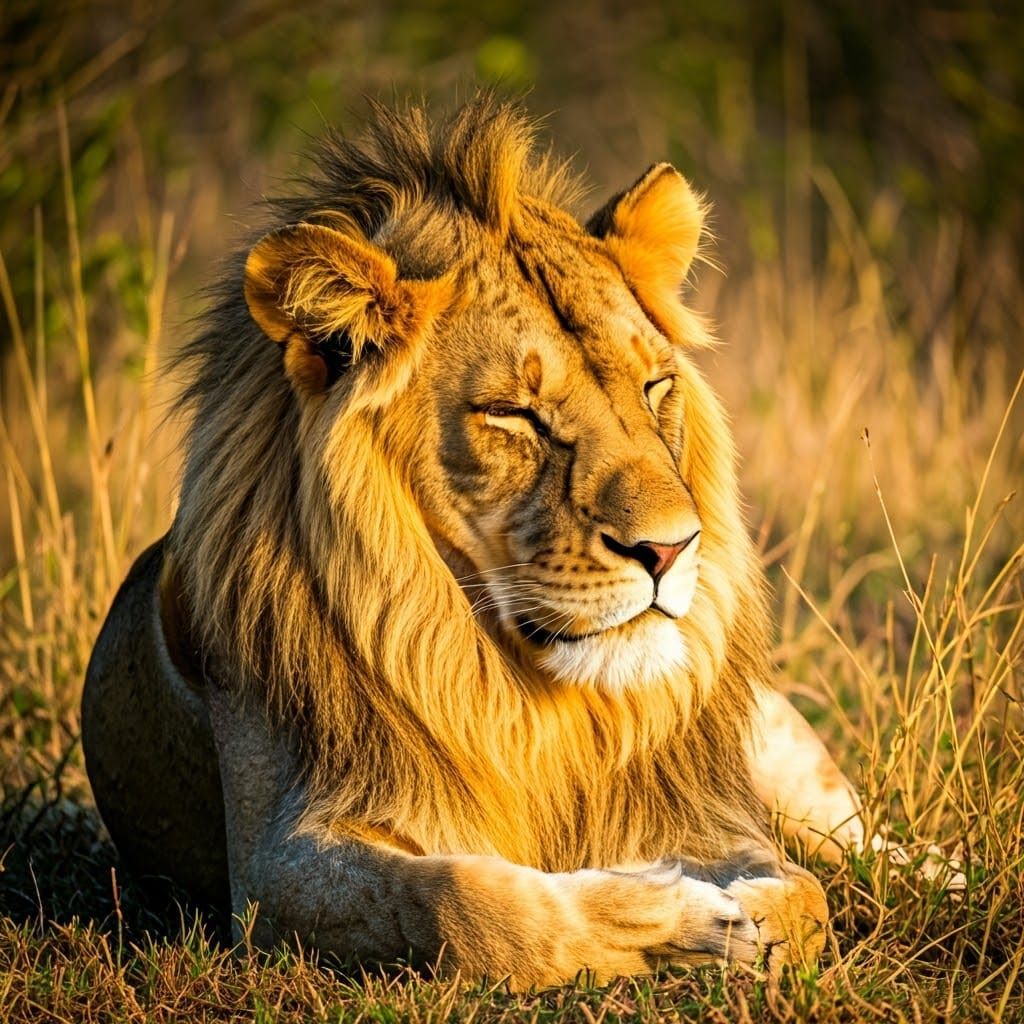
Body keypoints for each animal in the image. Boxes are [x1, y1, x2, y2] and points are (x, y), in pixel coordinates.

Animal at [81, 96, 873, 988]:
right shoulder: (270, 870)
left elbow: (806, 897)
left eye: (655, 386)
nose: (672, 550)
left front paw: (747, 916)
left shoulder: (716, 808)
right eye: (513, 415)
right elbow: (468, 905)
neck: (539, 700)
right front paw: (681, 910)